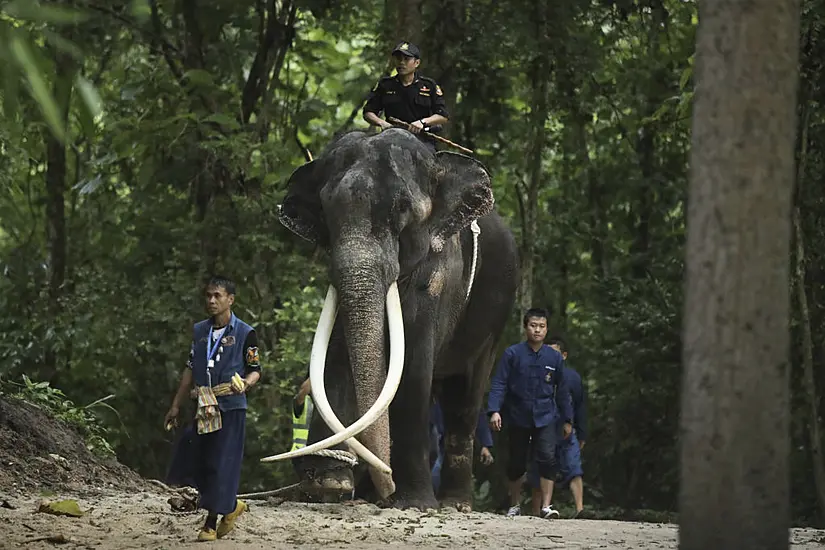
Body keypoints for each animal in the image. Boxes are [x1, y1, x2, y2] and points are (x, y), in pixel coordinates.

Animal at [268, 127, 520, 512]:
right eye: (326, 210)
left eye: (402, 208)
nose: (385, 484)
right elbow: (334, 357)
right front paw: (330, 485)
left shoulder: (441, 273)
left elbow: (413, 365)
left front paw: (414, 503)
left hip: (495, 319)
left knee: (465, 398)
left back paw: (453, 504)